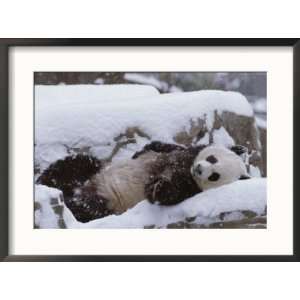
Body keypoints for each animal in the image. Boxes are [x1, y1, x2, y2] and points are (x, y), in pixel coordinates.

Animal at [37, 141, 248, 223]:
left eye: (215, 176)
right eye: (212, 158)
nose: (200, 169)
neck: (187, 167)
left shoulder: (190, 186)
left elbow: (164, 193)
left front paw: (158, 187)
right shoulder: (183, 153)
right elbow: (159, 147)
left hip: (108, 202)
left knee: (89, 208)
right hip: (93, 172)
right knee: (77, 164)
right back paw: (43, 181)